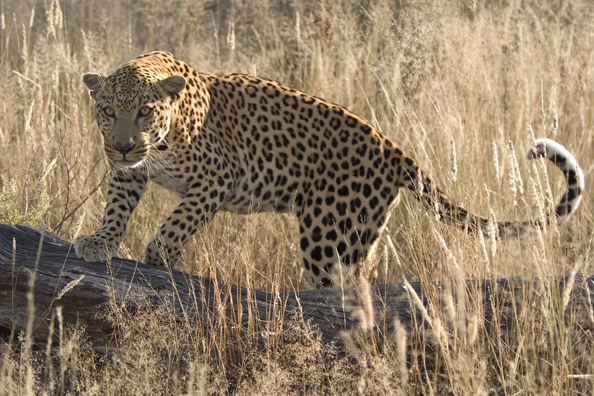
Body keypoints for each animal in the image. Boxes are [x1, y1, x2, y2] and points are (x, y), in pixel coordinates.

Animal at [74, 51, 584, 288]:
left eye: (144, 112)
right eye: (107, 110)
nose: (121, 146)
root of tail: (393, 147)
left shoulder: (216, 179)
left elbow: (180, 220)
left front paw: (159, 253)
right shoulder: (128, 174)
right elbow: (116, 208)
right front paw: (100, 241)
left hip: (328, 234)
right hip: (361, 234)